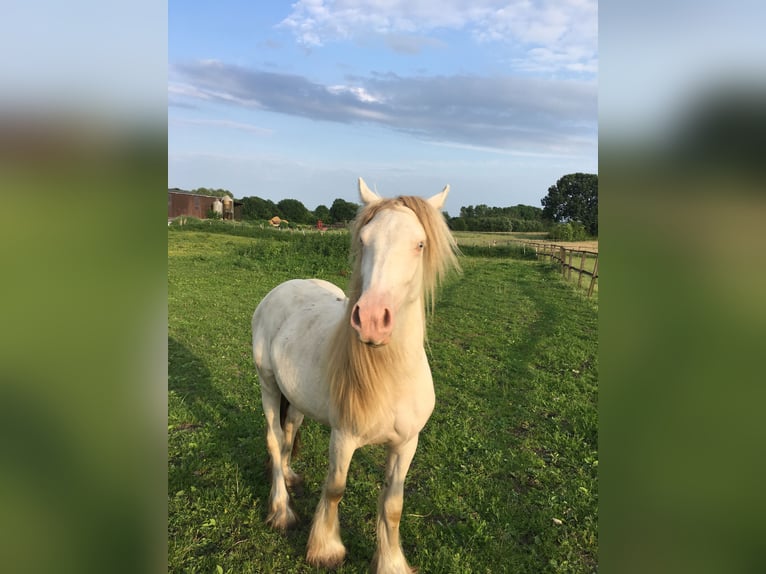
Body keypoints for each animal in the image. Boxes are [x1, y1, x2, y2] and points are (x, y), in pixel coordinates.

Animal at [252, 178, 460, 572]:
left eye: (420, 243)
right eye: (363, 240)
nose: (372, 319)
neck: (391, 376)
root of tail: (283, 287)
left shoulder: (406, 443)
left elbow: (393, 506)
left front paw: (392, 562)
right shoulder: (344, 437)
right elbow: (335, 489)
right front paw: (326, 549)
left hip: (297, 400)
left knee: (288, 435)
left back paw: (290, 476)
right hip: (268, 384)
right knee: (273, 440)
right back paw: (282, 509)